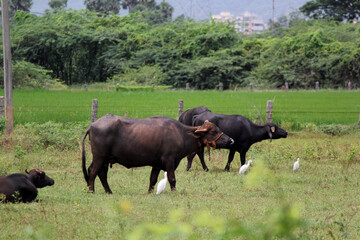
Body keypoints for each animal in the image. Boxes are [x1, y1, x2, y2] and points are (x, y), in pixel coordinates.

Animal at [81, 113, 233, 194]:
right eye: (213, 131)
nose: (231, 140)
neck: (181, 134)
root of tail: (93, 125)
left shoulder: (156, 164)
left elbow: (152, 179)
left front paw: (150, 192)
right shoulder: (169, 161)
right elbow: (172, 178)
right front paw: (174, 191)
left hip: (105, 159)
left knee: (101, 173)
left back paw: (109, 191)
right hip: (99, 156)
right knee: (93, 171)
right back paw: (92, 190)